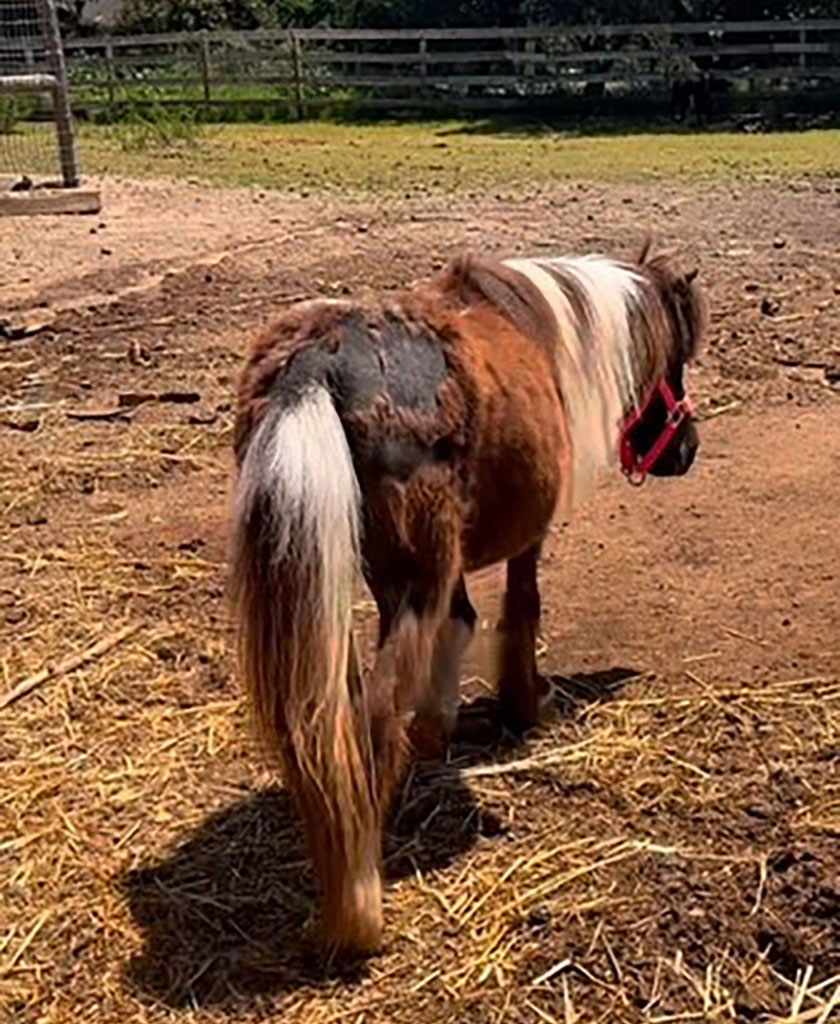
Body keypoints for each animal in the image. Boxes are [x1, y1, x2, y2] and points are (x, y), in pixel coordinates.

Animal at [230, 243, 707, 957]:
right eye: (673, 360)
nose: (687, 449)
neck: (541, 325)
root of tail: (317, 368)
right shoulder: (524, 537)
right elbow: (521, 608)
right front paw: (524, 704)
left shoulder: (434, 566)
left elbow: (459, 622)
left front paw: (439, 726)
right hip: (405, 579)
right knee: (372, 724)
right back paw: (359, 909)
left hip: (339, 578)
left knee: (324, 729)